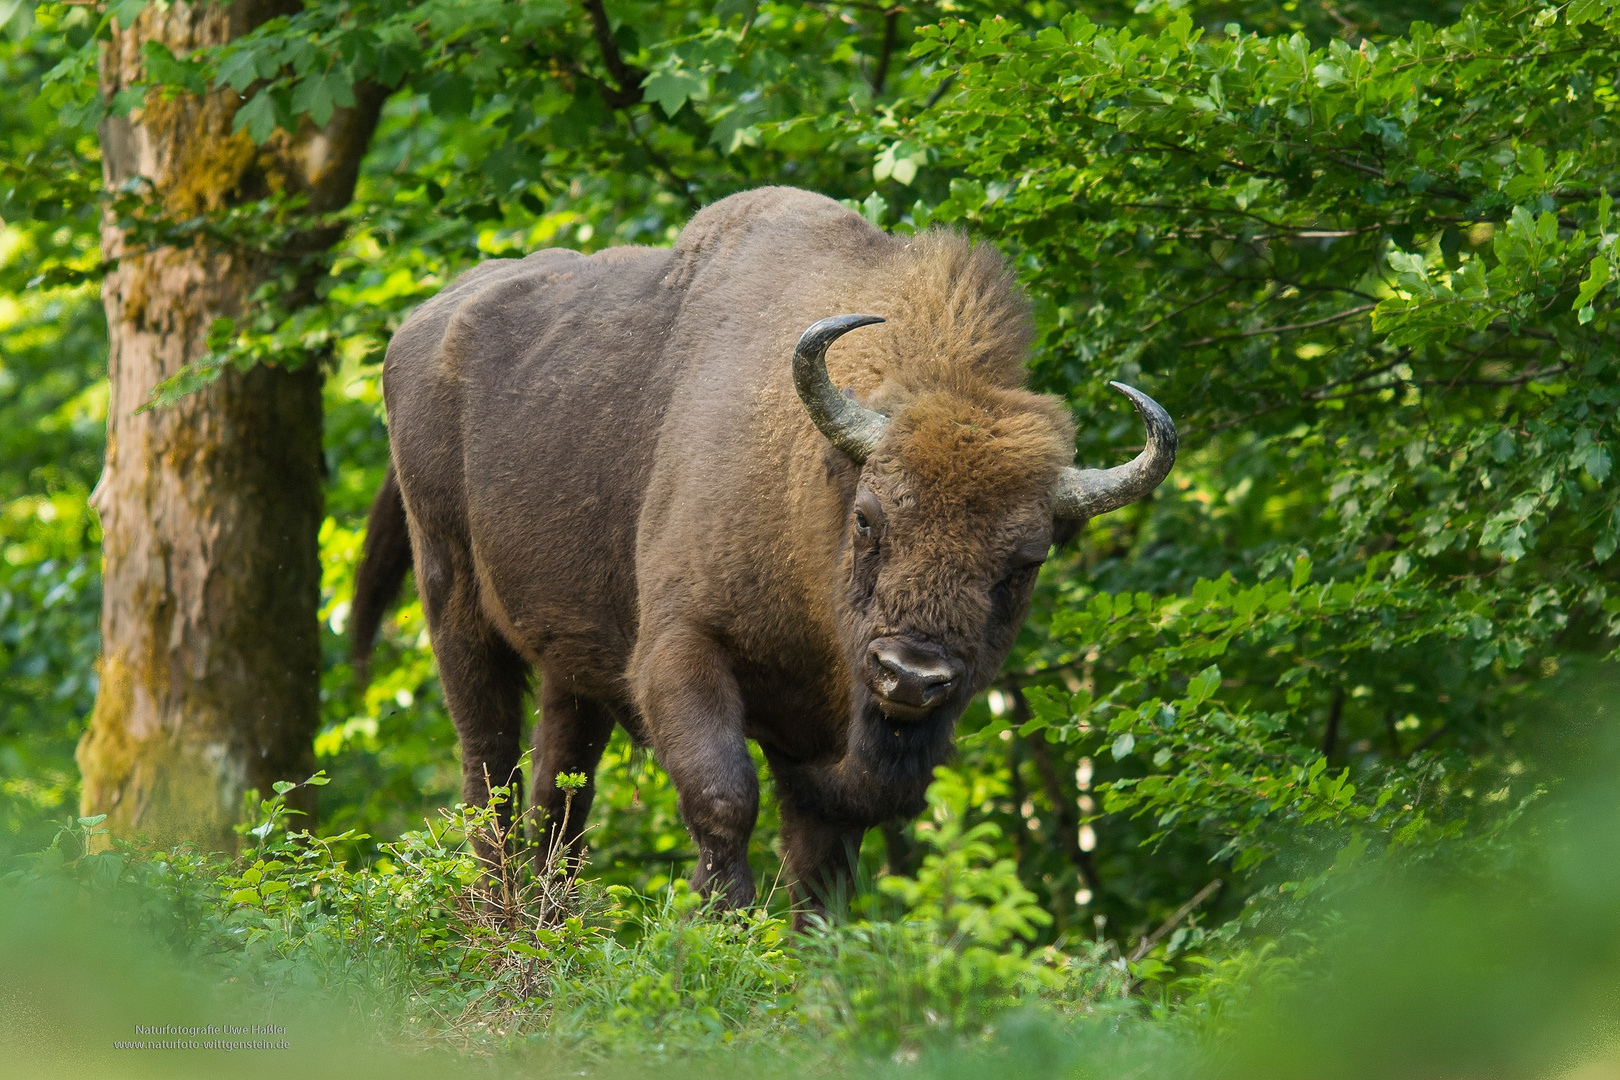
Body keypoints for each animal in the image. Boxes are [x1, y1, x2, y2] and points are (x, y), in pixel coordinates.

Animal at [348, 186, 1172, 919]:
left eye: (1026, 561)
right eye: (868, 520)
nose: (911, 675)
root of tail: (420, 326)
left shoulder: (826, 745)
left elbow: (825, 859)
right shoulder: (681, 650)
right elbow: (724, 795)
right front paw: (722, 922)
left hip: (570, 660)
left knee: (560, 784)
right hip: (453, 601)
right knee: (487, 763)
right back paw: (500, 912)